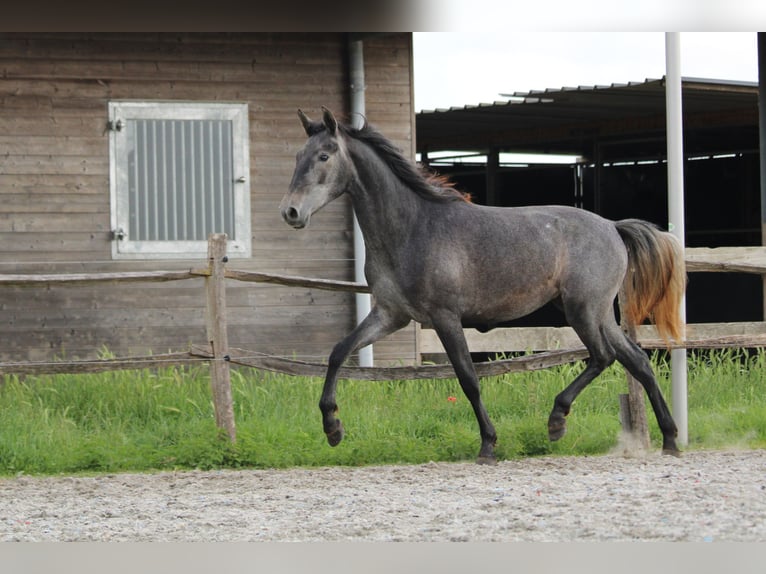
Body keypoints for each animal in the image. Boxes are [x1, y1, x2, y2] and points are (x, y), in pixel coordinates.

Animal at [279, 107, 687, 464]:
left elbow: (468, 379)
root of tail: (613, 227)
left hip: (582, 310)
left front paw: (488, 445)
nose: (291, 212)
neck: (412, 228)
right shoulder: (390, 315)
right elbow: (338, 352)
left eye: (324, 156)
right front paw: (332, 428)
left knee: (603, 356)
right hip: (598, 314)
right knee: (637, 361)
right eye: (299, 154)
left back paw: (557, 421)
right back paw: (669, 439)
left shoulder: (445, 317)